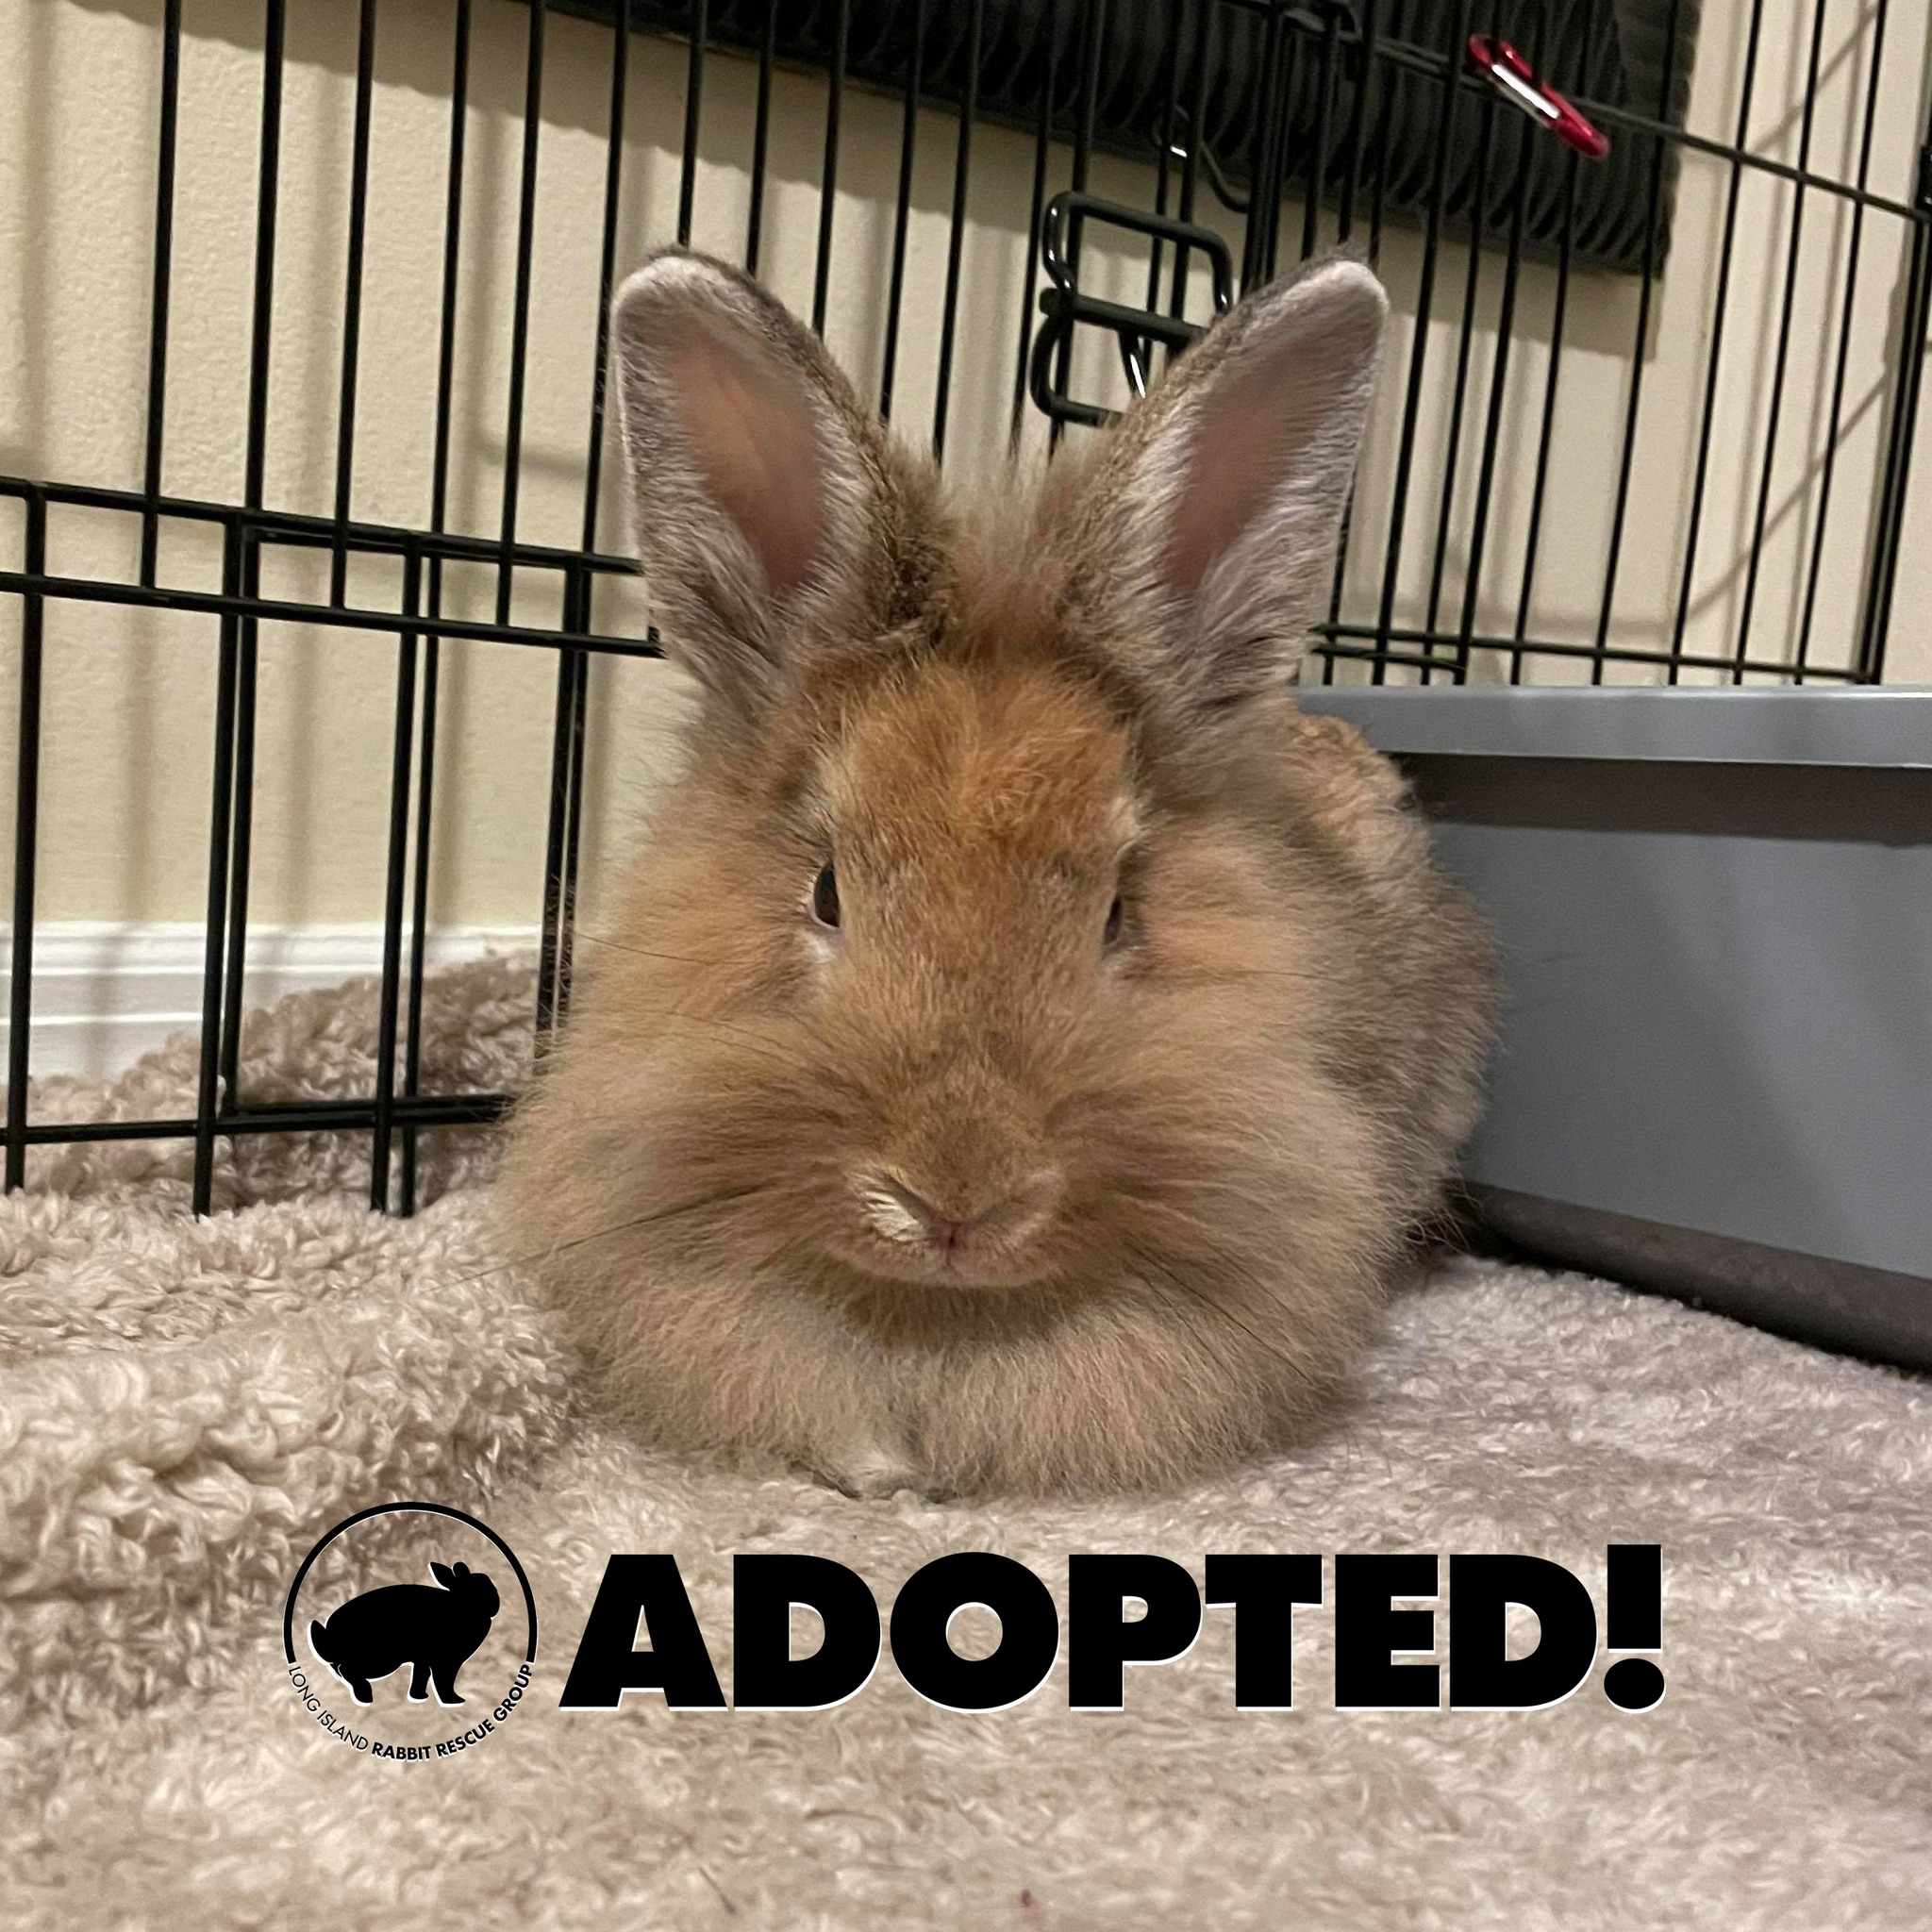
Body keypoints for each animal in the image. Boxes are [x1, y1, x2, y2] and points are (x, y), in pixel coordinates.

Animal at [309, 1559, 501, 1706]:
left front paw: (420, 1697)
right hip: (380, 1659)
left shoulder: (423, 1660)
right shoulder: (446, 1662)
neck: (463, 1605)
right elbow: (443, 1682)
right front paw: (454, 1700)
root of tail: (330, 1634)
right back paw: (365, 1696)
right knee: (347, 1669)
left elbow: (421, 1676)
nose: (495, 1604)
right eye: (477, 1588)